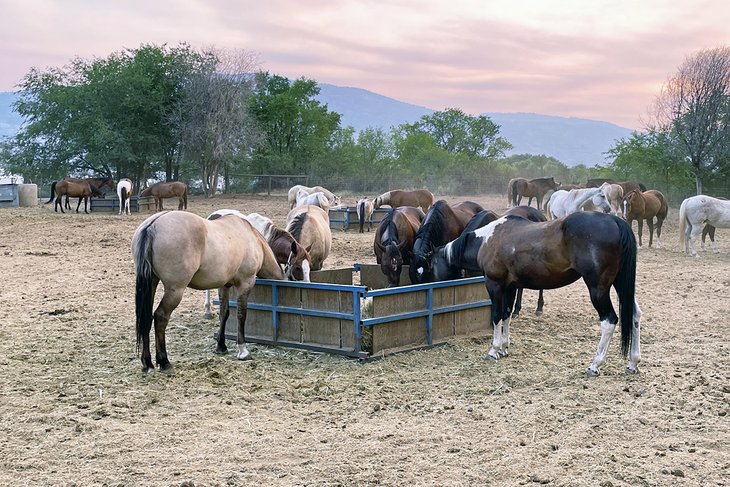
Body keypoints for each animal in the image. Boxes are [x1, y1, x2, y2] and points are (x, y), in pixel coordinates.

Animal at [132, 210, 286, 374]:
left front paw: (221, 346)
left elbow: (224, 314)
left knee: (146, 318)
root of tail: (152, 225)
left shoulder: (224, 286)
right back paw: (164, 361)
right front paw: (243, 351)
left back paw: (147, 363)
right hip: (175, 291)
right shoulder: (245, 284)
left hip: (151, 284)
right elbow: (241, 315)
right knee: (160, 317)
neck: (253, 238)